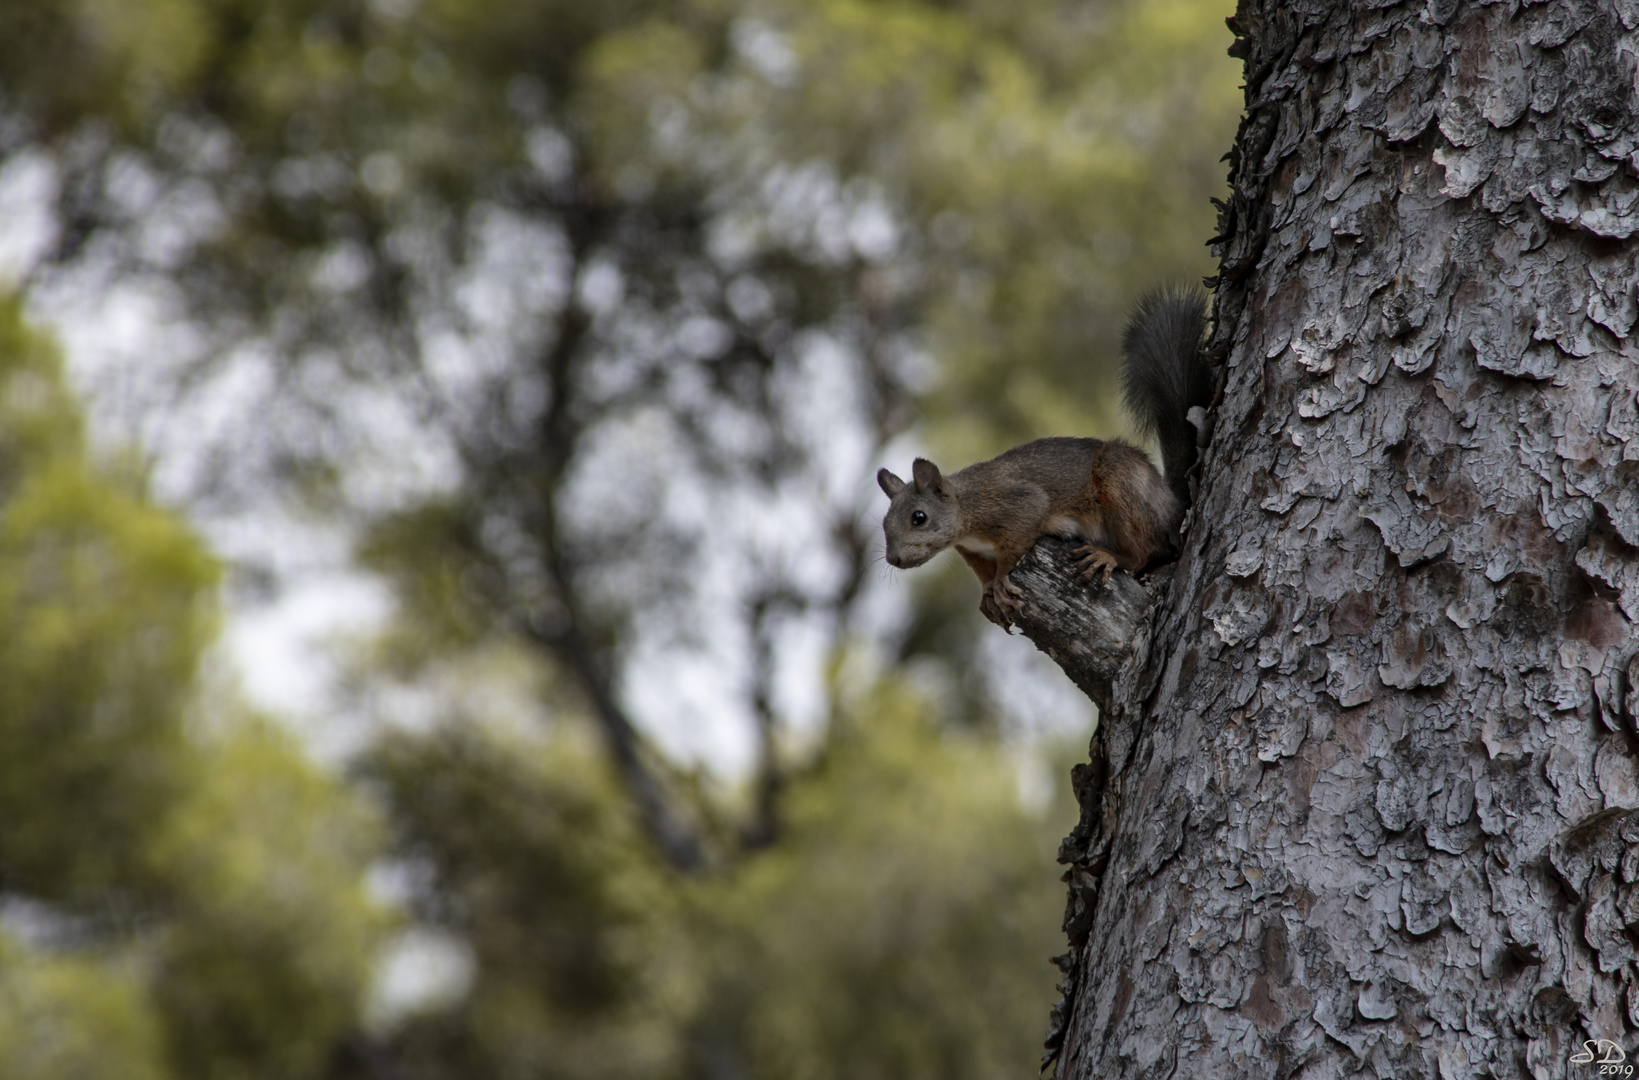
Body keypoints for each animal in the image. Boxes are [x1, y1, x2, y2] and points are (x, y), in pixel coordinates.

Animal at [878, 286, 1212, 629]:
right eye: (884, 523)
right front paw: (988, 594)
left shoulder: (1016, 504)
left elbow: (1014, 545)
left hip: (1122, 484)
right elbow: (983, 574)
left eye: (919, 517)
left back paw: (1110, 556)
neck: (966, 509)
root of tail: (1171, 503)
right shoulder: (974, 551)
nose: (894, 559)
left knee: (1143, 553)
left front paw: (1001, 582)